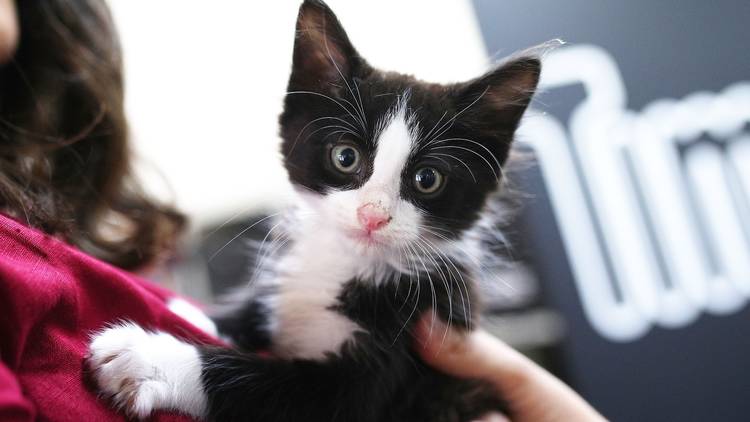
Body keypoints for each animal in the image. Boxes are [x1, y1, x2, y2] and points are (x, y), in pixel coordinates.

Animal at [88, 1, 544, 420]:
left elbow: (271, 387)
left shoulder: (389, 372)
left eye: (427, 179)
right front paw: (199, 316)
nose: (372, 215)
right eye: (345, 156)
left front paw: (148, 360)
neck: (345, 263)